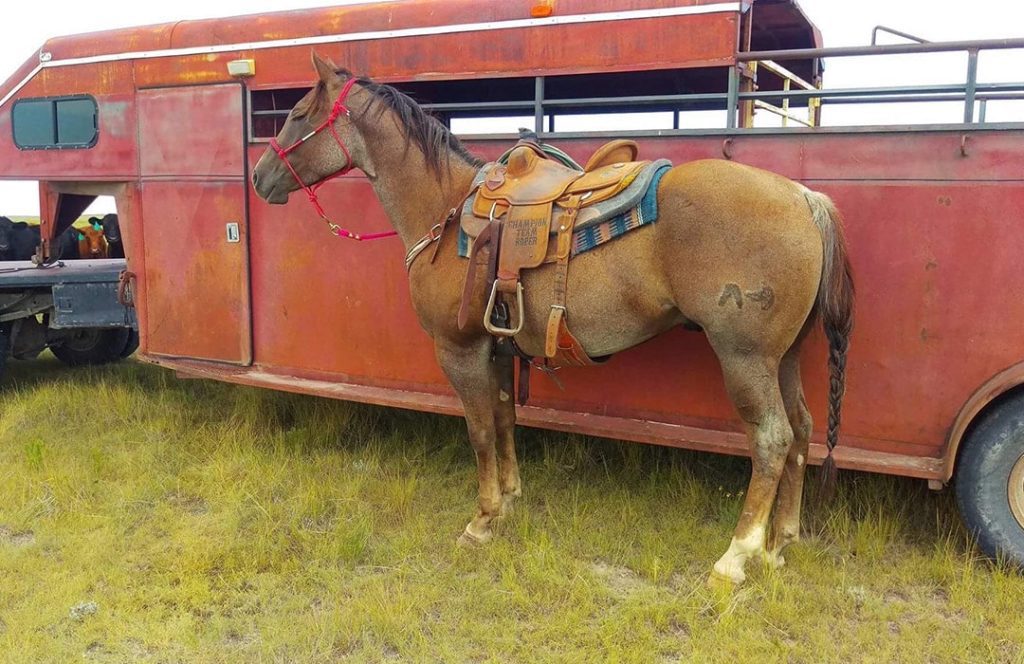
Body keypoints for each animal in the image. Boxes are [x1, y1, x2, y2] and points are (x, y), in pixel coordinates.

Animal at [251, 53, 854, 585]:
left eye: (297, 113)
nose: (259, 175)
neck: (446, 210)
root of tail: (804, 197)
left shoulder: (459, 349)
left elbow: (478, 430)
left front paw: (481, 520)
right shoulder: (496, 346)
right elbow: (503, 417)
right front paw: (510, 501)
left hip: (745, 358)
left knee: (772, 439)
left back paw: (736, 557)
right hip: (784, 357)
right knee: (802, 430)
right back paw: (778, 545)